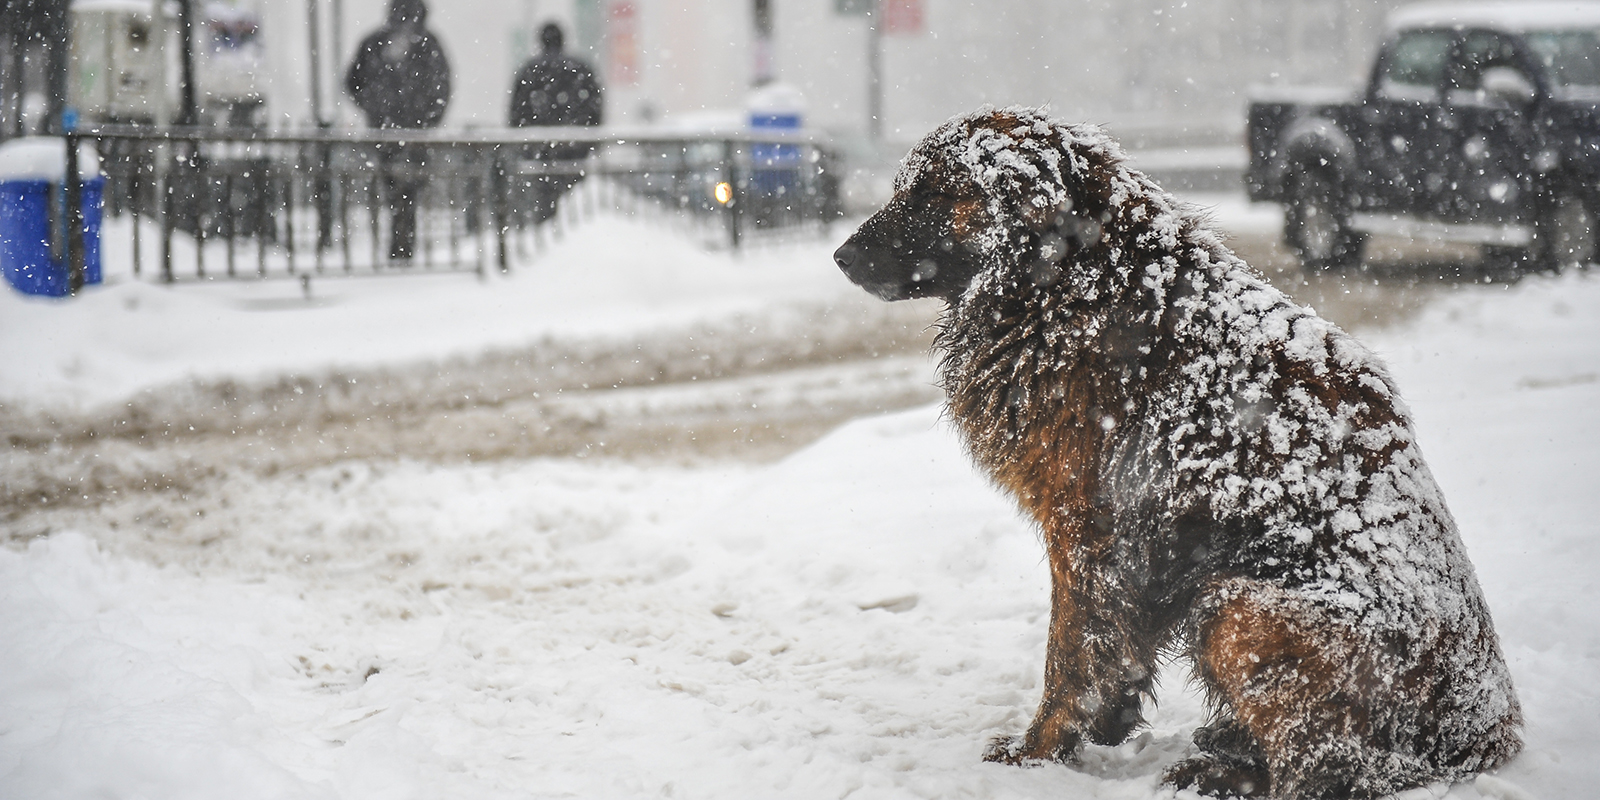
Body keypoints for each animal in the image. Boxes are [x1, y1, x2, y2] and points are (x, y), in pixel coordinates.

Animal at [838, 108, 1523, 800]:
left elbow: (1073, 653)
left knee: (1333, 768)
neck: (1077, 280)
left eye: (933, 193)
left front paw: (1038, 754)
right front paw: (1103, 727)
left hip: (1237, 608)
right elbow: (1116, 651)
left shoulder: (1088, 529)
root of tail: (1484, 731)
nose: (841, 256)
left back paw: (1225, 772)